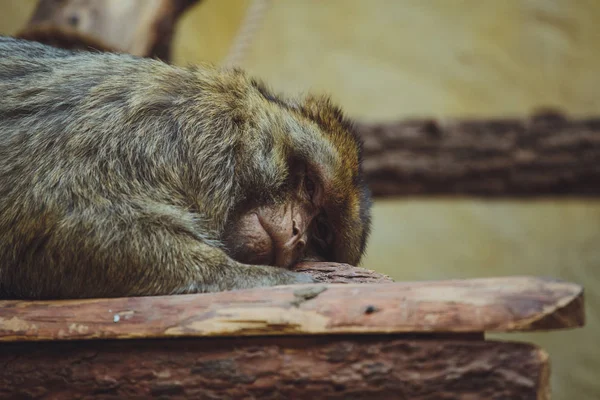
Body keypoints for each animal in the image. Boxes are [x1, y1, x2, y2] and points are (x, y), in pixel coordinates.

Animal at [0, 36, 370, 300]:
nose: (296, 233)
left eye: (319, 229)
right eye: (309, 186)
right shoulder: (188, 128)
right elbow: (64, 219)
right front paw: (264, 279)